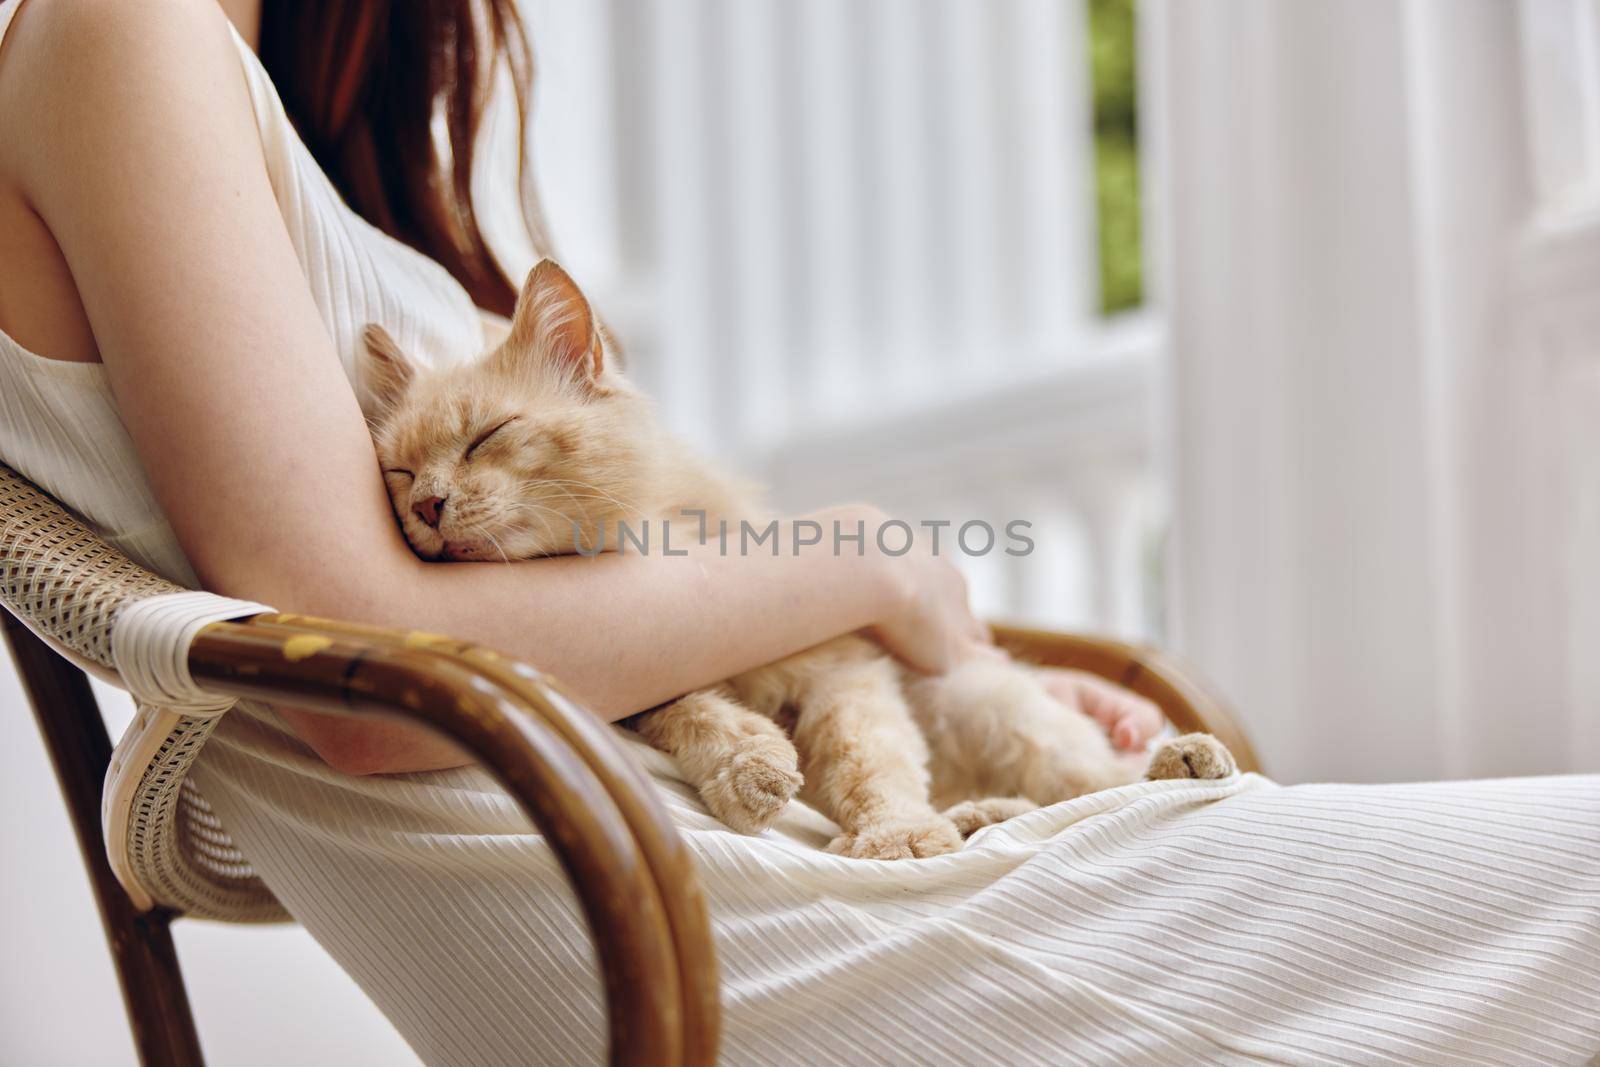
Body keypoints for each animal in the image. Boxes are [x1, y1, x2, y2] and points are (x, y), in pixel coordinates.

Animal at [363, 262, 1235, 863]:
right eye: (399, 472)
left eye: (485, 437)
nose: (427, 506)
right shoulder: (636, 688)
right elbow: (691, 708)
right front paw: (748, 764)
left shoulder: (844, 666)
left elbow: (864, 759)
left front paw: (893, 834)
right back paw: (976, 816)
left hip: (984, 702)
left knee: (1090, 775)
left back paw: (1173, 762)